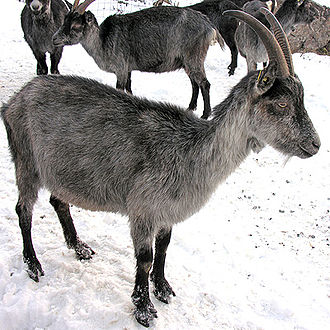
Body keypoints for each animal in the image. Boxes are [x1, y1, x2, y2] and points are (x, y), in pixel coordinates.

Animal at [52, 0, 224, 118]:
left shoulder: (121, 68)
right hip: (186, 61)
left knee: (204, 83)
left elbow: (121, 89)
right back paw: (190, 107)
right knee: (195, 83)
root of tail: (209, 26)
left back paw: (205, 114)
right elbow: (129, 89)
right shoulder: (128, 69)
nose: (54, 39)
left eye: (75, 25)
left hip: (194, 55)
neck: (103, 40)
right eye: (64, 20)